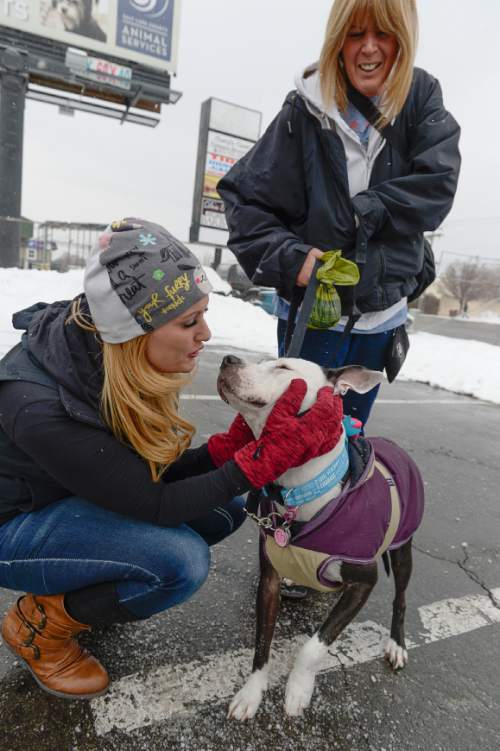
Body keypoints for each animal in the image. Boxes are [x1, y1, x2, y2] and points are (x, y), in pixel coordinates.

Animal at [217, 358, 424, 724]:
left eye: (283, 366)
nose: (228, 358)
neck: (300, 491)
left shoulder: (363, 583)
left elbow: (313, 646)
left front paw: (298, 689)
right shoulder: (268, 582)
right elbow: (261, 642)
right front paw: (251, 693)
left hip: (402, 552)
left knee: (400, 597)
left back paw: (396, 644)